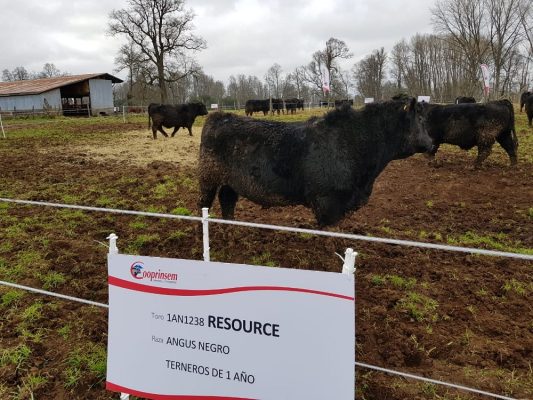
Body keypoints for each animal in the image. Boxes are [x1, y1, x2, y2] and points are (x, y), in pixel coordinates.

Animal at [197, 98, 430, 227]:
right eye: (420, 119)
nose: (431, 142)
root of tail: (220, 116)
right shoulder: (327, 203)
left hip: (230, 182)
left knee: (227, 201)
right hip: (207, 177)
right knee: (204, 205)